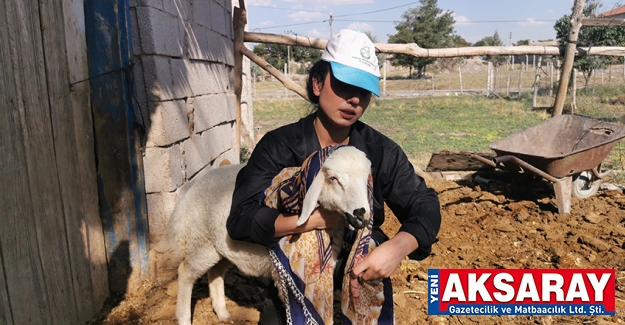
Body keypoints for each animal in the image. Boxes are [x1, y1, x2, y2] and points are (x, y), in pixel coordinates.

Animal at [167, 146, 370, 322]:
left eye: (367, 178)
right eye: (333, 178)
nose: (362, 214)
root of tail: (191, 186)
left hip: (222, 247)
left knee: (215, 272)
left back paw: (223, 313)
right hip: (201, 241)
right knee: (185, 272)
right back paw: (184, 318)